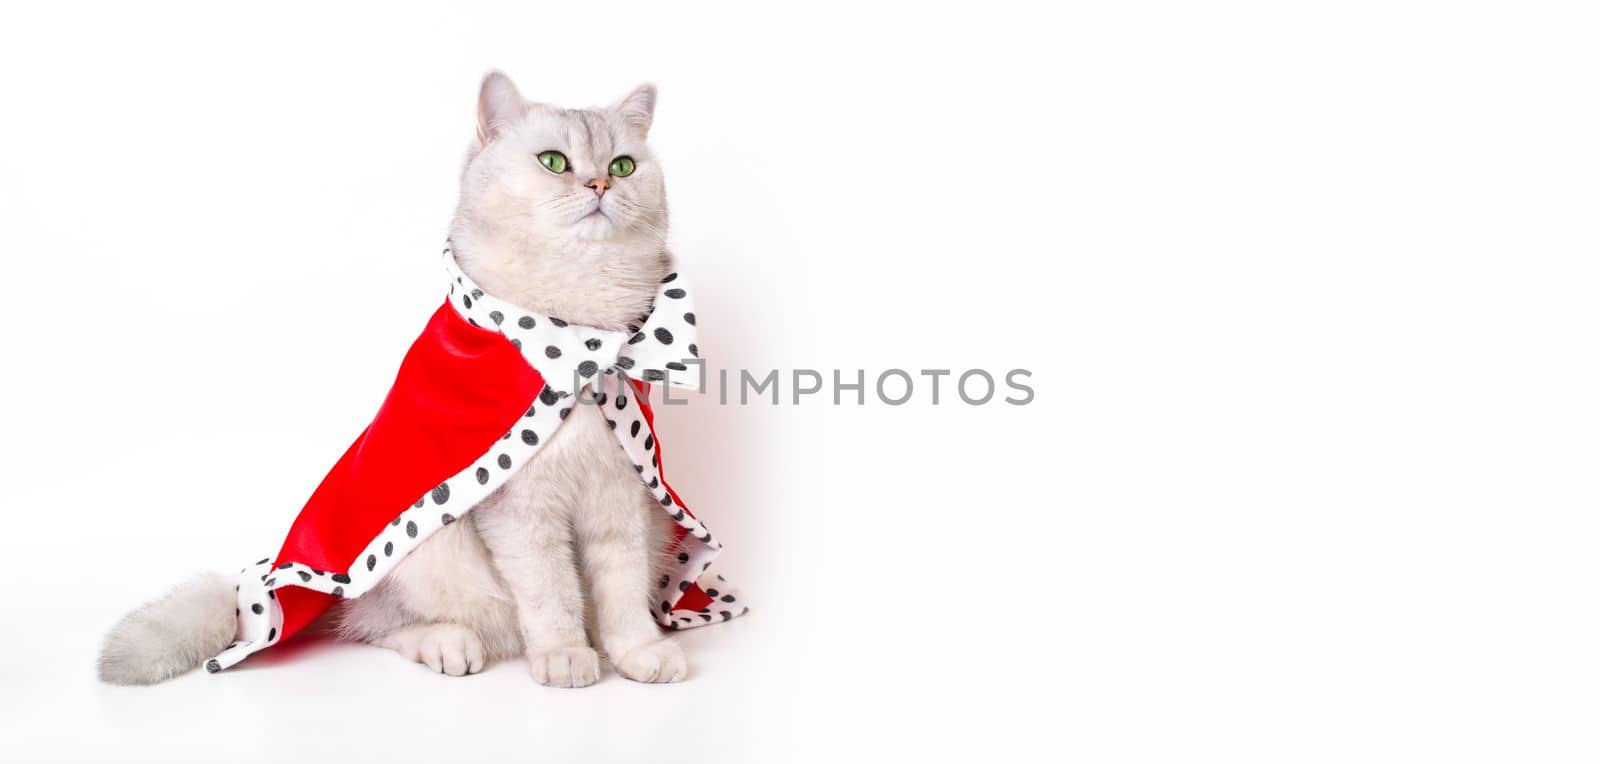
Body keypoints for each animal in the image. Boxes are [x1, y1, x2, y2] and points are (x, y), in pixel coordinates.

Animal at [98, 73, 688, 687]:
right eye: (554, 161)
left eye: (623, 165)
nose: (599, 183)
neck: (580, 336)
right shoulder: (522, 513)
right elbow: (551, 593)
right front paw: (566, 654)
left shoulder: (622, 499)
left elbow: (621, 588)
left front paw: (636, 650)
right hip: (428, 552)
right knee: (373, 623)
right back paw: (448, 644)